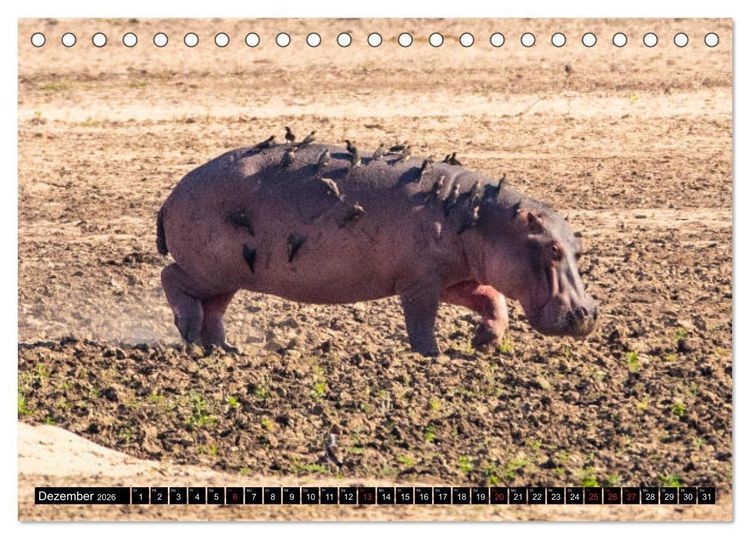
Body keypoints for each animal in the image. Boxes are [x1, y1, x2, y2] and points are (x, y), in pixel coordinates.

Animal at [156, 140, 598, 356]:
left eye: (577, 248)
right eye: (552, 250)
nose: (589, 314)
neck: (484, 218)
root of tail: (174, 191)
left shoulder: (454, 277)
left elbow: (492, 299)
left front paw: (484, 342)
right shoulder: (421, 281)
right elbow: (421, 319)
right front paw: (431, 355)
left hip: (228, 274)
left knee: (215, 309)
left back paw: (224, 349)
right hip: (208, 267)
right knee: (171, 277)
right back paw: (188, 331)